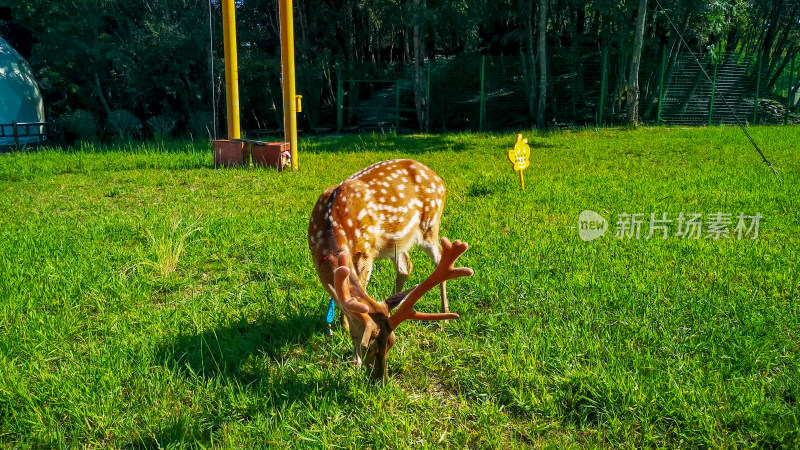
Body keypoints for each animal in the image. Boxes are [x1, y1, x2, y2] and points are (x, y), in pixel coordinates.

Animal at [304, 158, 468, 380]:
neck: (330, 225)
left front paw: (353, 360)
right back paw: (397, 304)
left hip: (430, 224)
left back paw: (445, 315)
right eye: (370, 347)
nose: (381, 380)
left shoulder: (366, 252)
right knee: (406, 265)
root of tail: (439, 179)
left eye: (391, 344)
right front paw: (343, 326)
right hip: (397, 242)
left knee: (439, 257)